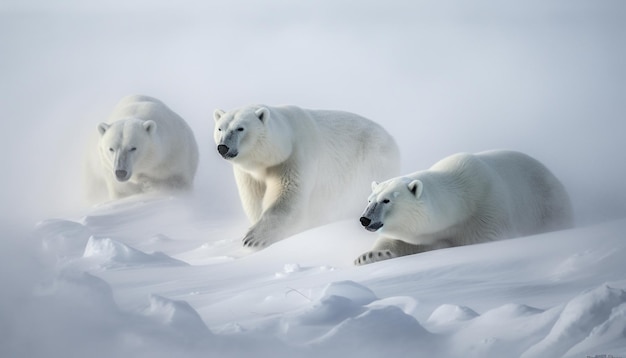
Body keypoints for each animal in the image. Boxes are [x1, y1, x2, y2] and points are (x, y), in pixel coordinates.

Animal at [213, 105, 400, 248]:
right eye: (220, 128)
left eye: (240, 128)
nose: (223, 147)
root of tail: (391, 139)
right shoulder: (248, 174)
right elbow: (254, 200)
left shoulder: (295, 157)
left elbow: (287, 198)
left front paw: (253, 238)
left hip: (370, 162)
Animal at [352, 150, 572, 264]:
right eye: (370, 200)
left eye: (386, 200)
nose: (365, 219)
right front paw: (370, 255)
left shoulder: (487, 212)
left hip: (548, 205)